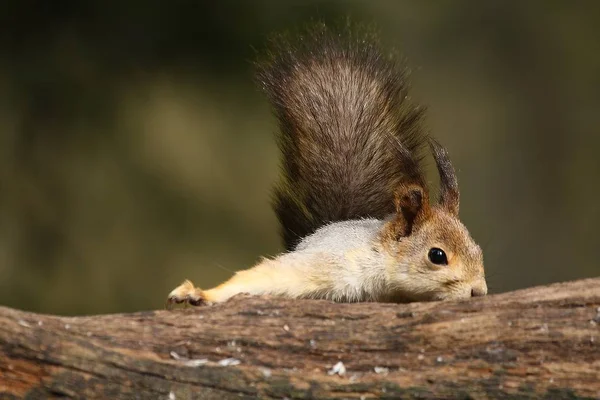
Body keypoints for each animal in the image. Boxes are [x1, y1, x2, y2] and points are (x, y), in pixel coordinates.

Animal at [165, 23, 488, 308]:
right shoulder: (330, 264)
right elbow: (264, 276)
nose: (479, 291)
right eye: (437, 256)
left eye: (478, 249)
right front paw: (200, 293)